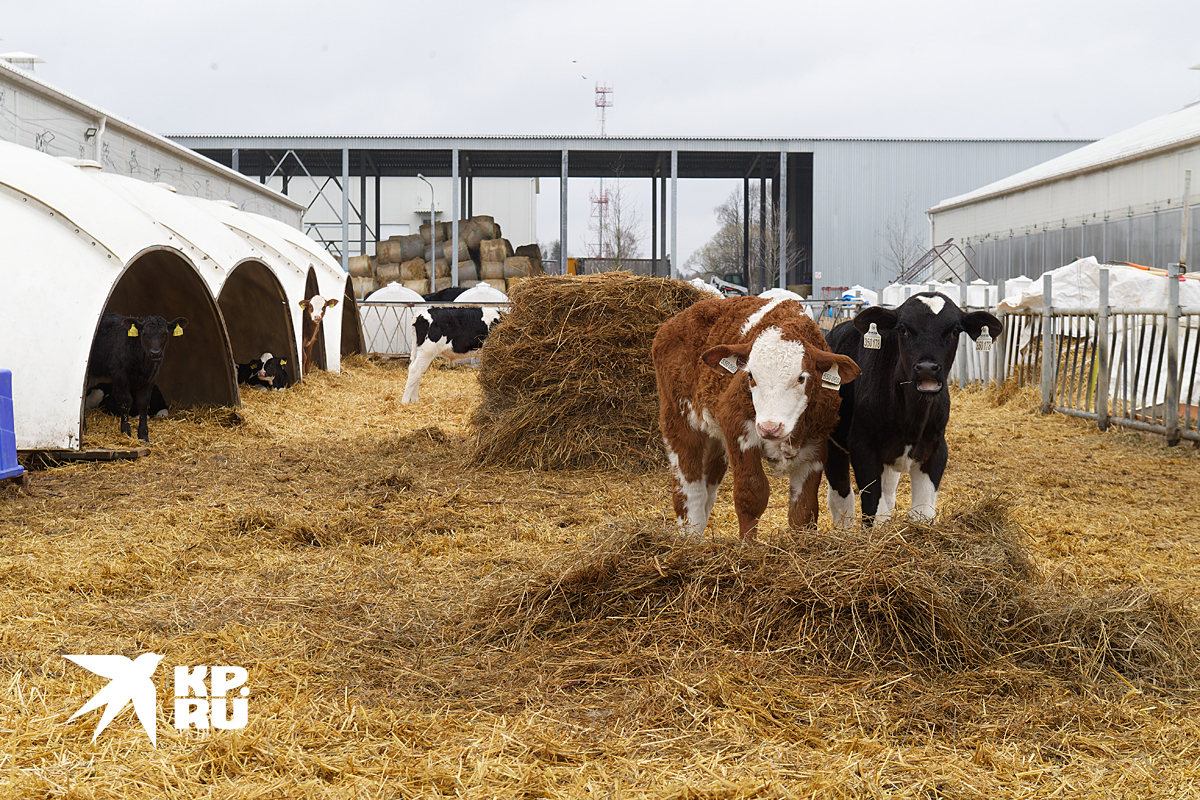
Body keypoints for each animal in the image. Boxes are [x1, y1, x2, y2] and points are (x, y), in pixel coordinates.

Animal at [87, 311, 187, 441]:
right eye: (144, 333)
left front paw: (144, 437)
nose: (155, 353)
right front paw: (126, 432)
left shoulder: (151, 378)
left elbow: (143, 403)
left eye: (165, 333)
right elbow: (125, 402)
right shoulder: (119, 375)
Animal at [652, 296, 859, 544]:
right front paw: (748, 544)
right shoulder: (738, 428)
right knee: (689, 490)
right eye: (750, 375)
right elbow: (751, 493)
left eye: (801, 378)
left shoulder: (815, 445)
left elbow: (804, 508)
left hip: (714, 437)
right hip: (678, 420)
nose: (770, 427)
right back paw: (691, 540)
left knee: (707, 491)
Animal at [825, 292, 1003, 525]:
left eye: (955, 330)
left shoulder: (936, 447)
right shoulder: (862, 446)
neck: (912, 419)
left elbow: (922, 513)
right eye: (903, 329)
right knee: (841, 497)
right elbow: (873, 510)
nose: (927, 367)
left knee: (887, 496)